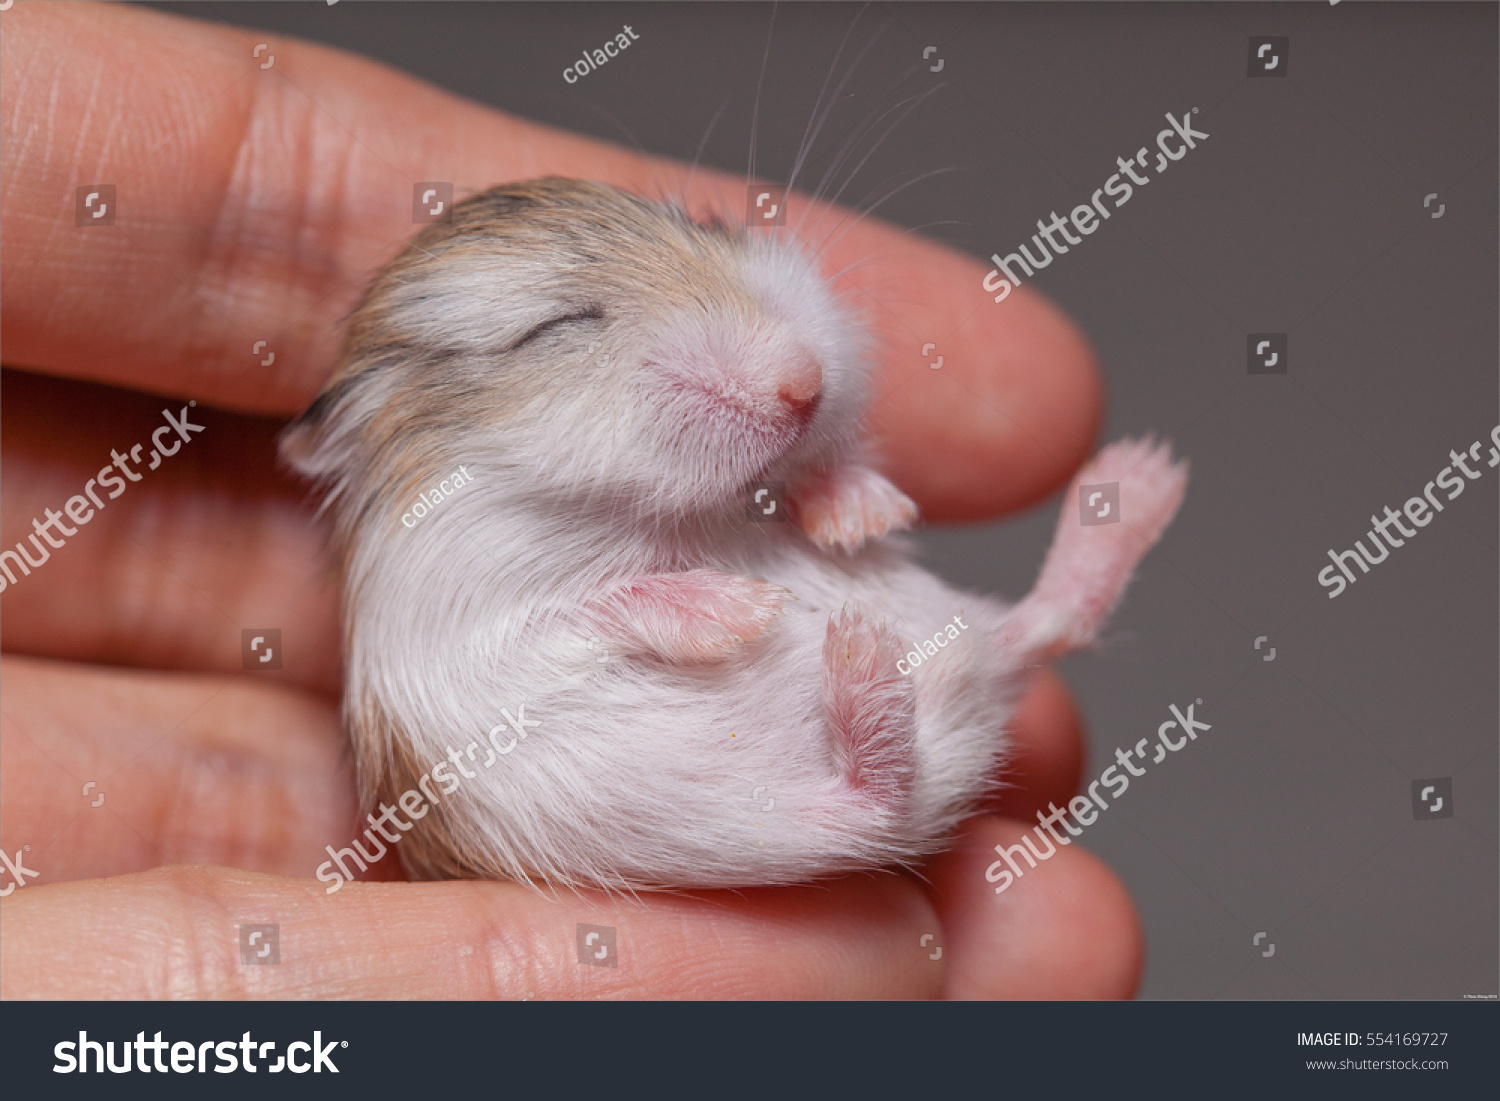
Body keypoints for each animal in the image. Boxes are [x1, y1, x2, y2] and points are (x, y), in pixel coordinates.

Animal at [282, 177, 1188, 894]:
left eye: (701, 224)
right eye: (556, 326)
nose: (805, 382)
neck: (661, 513)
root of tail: (974, 695)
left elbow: (798, 484)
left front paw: (860, 513)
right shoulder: (467, 622)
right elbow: (599, 600)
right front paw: (748, 610)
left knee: (1047, 623)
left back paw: (1140, 478)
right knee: (874, 797)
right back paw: (864, 659)